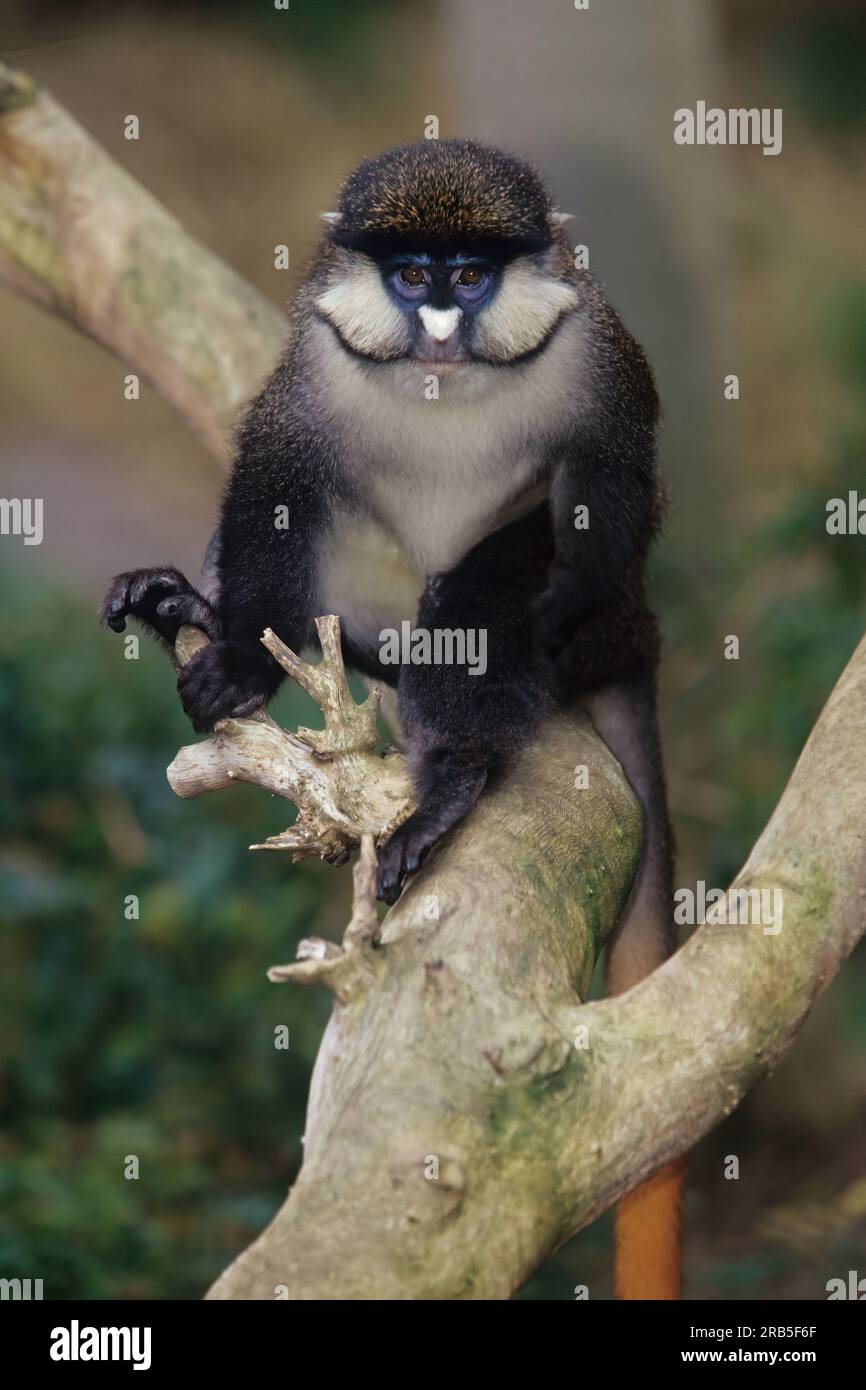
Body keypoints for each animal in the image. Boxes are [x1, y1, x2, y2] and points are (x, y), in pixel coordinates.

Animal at [101, 139, 682, 1296]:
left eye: (469, 274)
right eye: (410, 275)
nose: (443, 327)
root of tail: (636, 631)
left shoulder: (598, 365)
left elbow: (614, 486)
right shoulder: (308, 382)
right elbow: (274, 487)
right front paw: (228, 645)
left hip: (605, 614)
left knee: (488, 598)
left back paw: (457, 770)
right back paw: (201, 612)